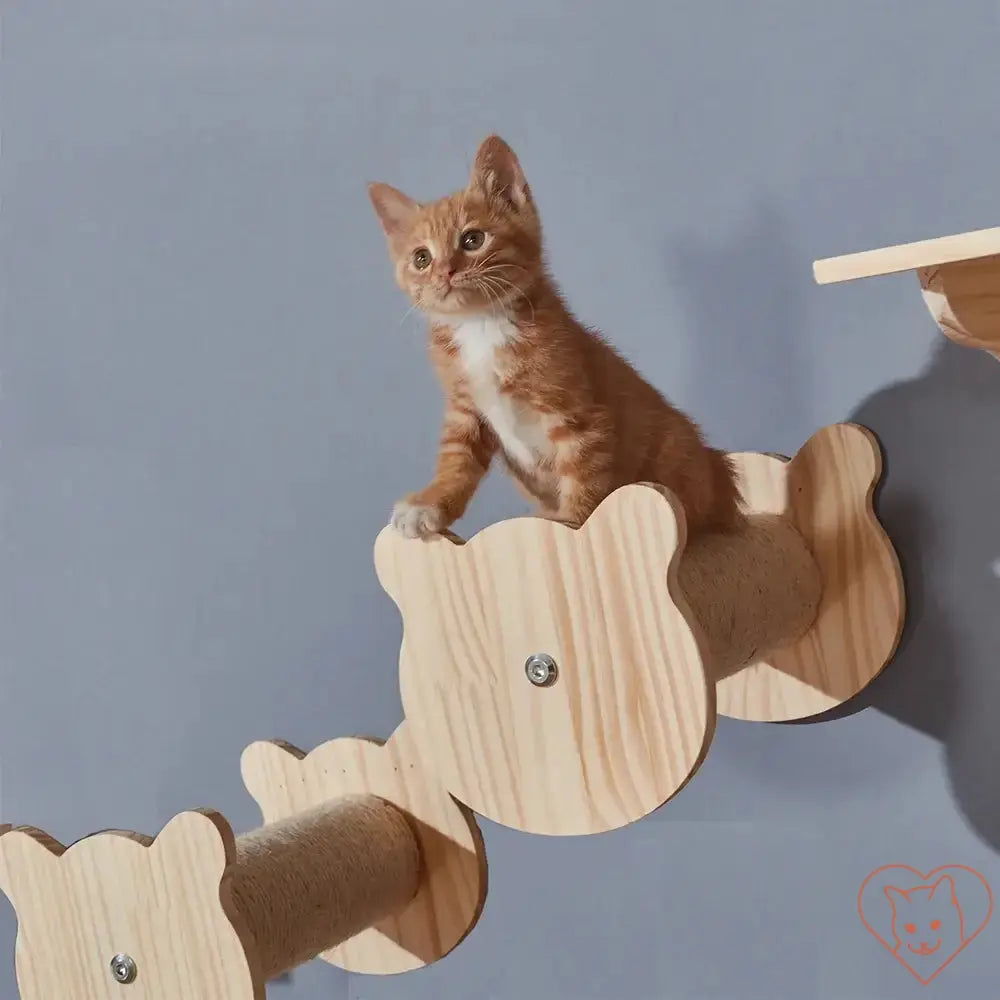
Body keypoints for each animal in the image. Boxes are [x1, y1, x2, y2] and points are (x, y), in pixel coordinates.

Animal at [368, 135, 744, 540]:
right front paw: (430, 503)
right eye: (421, 258)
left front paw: (574, 527)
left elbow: (584, 475)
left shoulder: (579, 417)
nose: (445, 272)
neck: (481, 326)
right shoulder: (465, 410)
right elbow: (456, 461)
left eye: (473, 239)